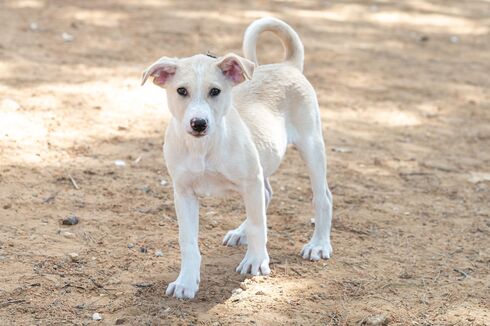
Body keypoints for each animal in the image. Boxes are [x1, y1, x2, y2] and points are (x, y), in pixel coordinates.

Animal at [142, 17, 334, 298]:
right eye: (181, 91)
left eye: (215, 91)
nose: (199, 123)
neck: (203, 147)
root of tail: (287, 65)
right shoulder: (183, 192)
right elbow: (188, 241)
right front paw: (186, 282)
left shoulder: (250, 180)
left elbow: (258, 225)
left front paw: (255, 261)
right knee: (266, 194)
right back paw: (240, 233)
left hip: (311, 146)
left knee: (322, 197)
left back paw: (318, 244)